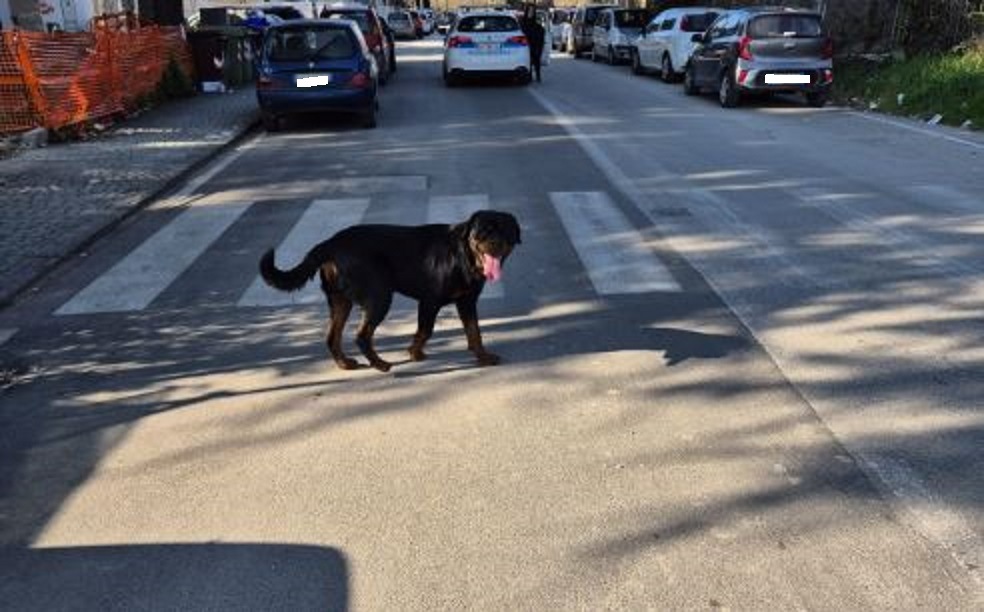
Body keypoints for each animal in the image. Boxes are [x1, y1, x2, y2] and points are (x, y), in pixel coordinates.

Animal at [262, 210, 524, 372]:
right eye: (483, 231)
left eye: (506, 231)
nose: (496, 243)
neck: (463, 256)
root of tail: (330, 243)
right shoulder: (429, 301)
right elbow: (425, 330)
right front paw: (414, 353)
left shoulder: (467, 302)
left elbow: (474, 331)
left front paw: (482, 357)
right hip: (379, 297)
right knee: (362, 335)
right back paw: (380, 364)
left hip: (340, 301)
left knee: (332, 336)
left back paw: (345, 363)